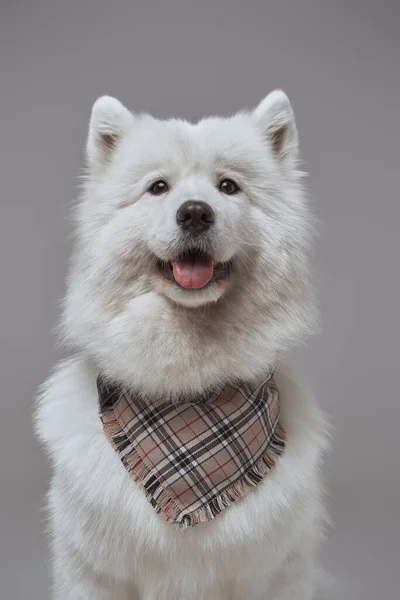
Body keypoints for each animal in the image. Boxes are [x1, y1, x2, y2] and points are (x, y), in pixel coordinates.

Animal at [35, 90, 328, 600]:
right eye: (158, 187)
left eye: (228, 186)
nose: (194, 212)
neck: (187, 386)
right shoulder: (94, 572)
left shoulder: (275, 572)